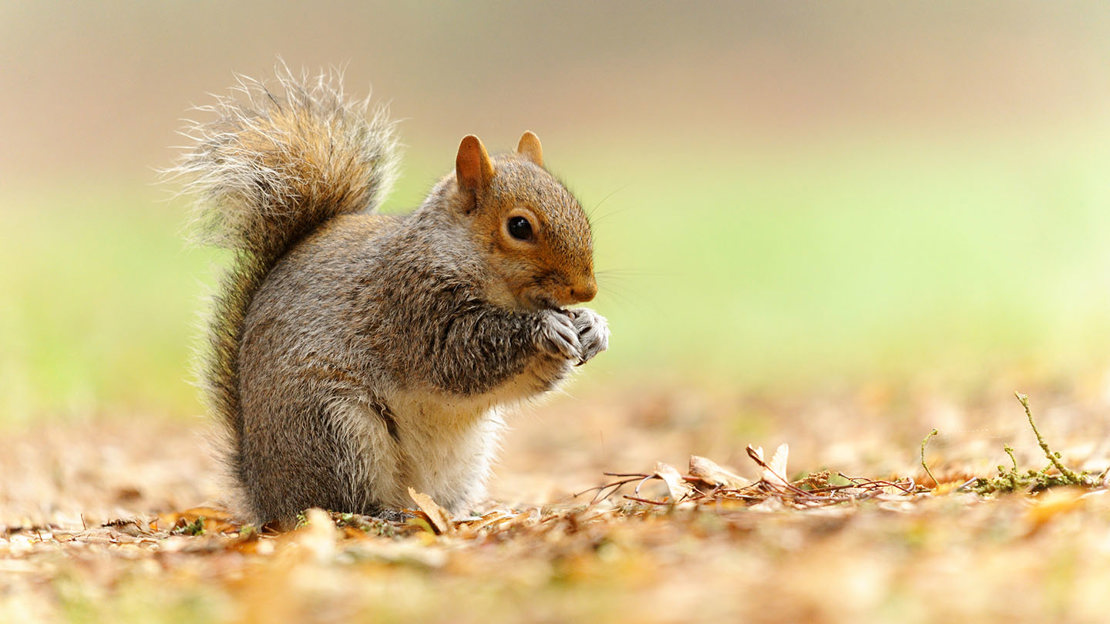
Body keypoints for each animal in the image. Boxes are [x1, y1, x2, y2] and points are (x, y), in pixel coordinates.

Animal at [169, 67, 609, 528]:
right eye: (519, 226)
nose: (587, 290)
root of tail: (264, 495)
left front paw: (592, 327)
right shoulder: (410, 306)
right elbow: (461, 355)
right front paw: (546, 327)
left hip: (463, 456)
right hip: (337, 429)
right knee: (334, 502)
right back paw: (379, 516)